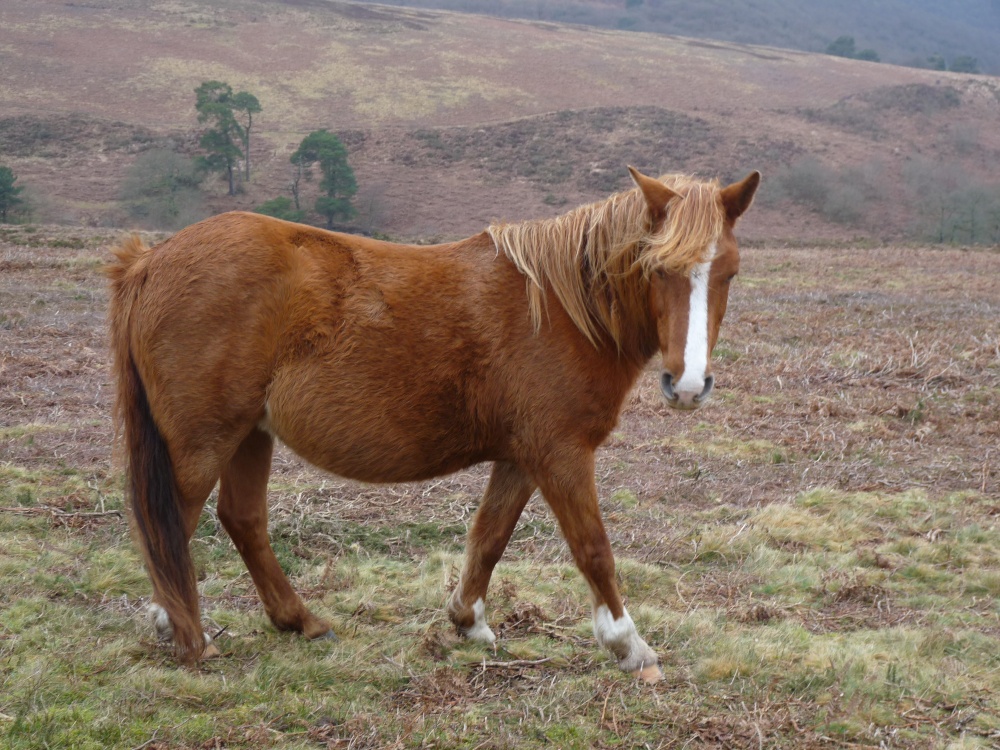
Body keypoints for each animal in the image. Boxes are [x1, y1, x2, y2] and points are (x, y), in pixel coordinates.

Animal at [107, 166, 756, 680]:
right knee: (171, 524)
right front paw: (629, 646)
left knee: (239, 521)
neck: (561, 309)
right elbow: (594, 549)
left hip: (249, 435)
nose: (688, 385)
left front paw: (468, 622)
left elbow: (490, 536)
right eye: (658, 269)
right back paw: (189, 636)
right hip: (203, 441)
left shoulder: (522, 457)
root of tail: (148, 262)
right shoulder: (561, 453)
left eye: (728, 272)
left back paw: (297, 621)